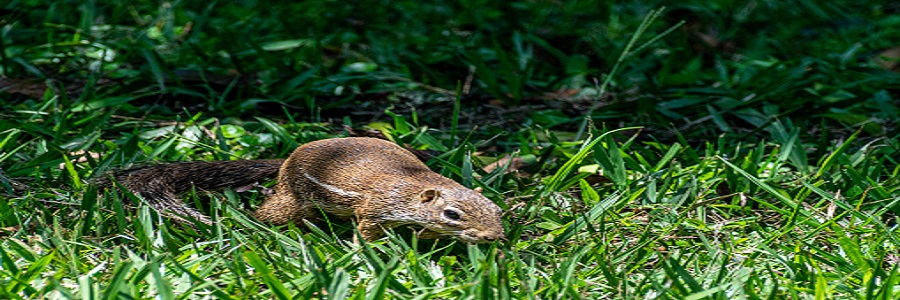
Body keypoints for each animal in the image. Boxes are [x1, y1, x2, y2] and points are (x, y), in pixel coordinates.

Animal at [105, 137, 506, 243]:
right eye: (452, 214)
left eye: (497, 211)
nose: (493, 238)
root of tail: (285, 160)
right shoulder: (375, 208)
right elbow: (367, 230)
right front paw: (374, 250)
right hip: (292, 200)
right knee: (271, 212)